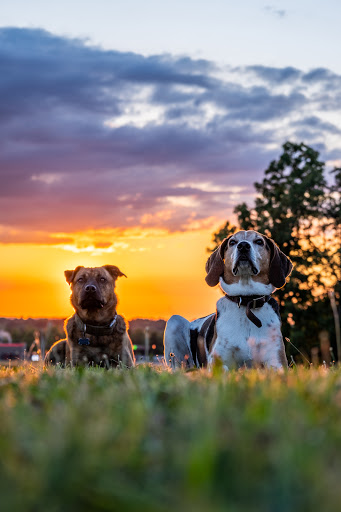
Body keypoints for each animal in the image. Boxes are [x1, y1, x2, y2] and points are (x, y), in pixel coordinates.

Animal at [163, 230, 290, 370]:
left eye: (259, 241)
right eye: (232, 242)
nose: (243, 246)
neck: (246, 301)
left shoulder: (278, 362)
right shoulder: (217, 361)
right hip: (174, 322)